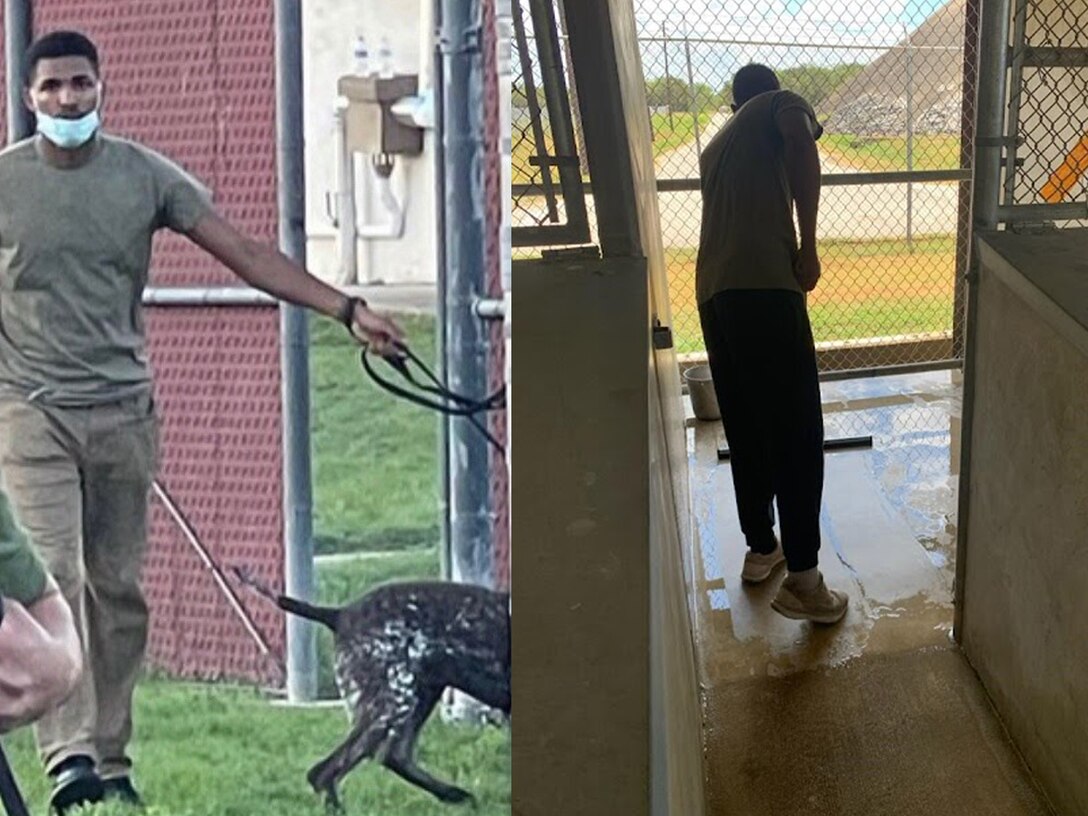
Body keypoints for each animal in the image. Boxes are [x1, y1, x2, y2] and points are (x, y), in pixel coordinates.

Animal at [232, 570, 509, 813]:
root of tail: (339, 615)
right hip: (392, 705)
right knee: (325, 772)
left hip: (416, 697)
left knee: (392, 756)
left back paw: (453, 794)